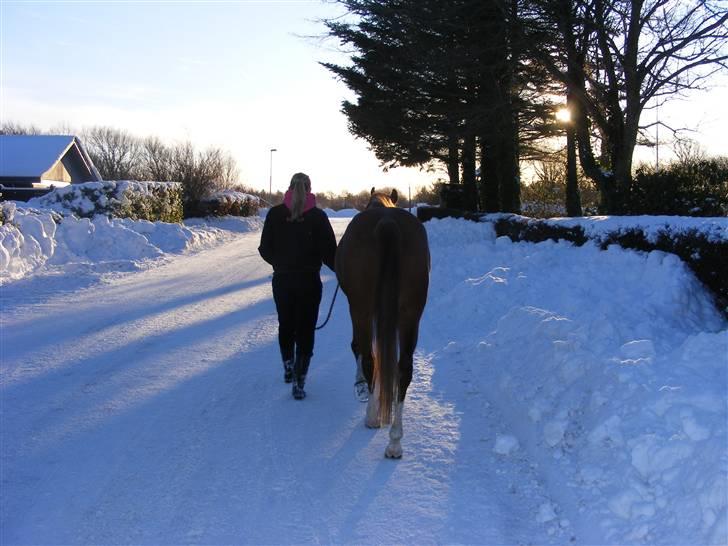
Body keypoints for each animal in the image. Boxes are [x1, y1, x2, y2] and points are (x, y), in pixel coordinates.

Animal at [336, 187, 432, 454]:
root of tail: (387, 222)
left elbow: (362, 349)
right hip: (411, 312)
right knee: (404, 367)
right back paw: (395, 440)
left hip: (361, 308)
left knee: (369, 357)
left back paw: (372, 417)